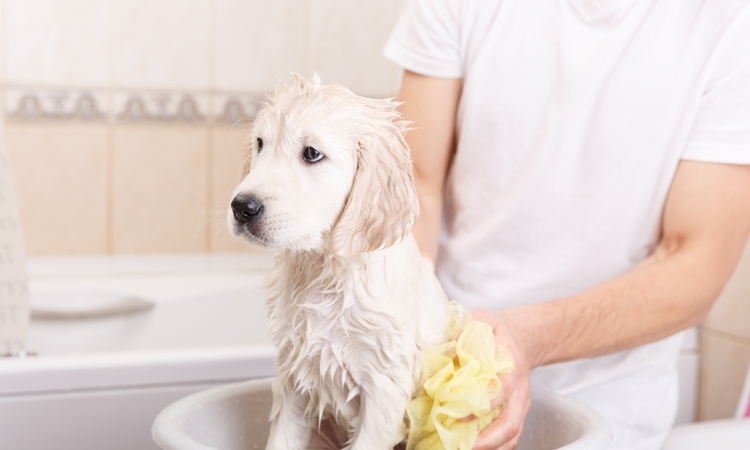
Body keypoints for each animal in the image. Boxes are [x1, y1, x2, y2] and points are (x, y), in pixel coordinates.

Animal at [229, 74, 450, 450]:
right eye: (260, 143)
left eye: (312, 153)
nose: (242, 207)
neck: (324, 272)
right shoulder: (294, 375)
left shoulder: (383, 386)